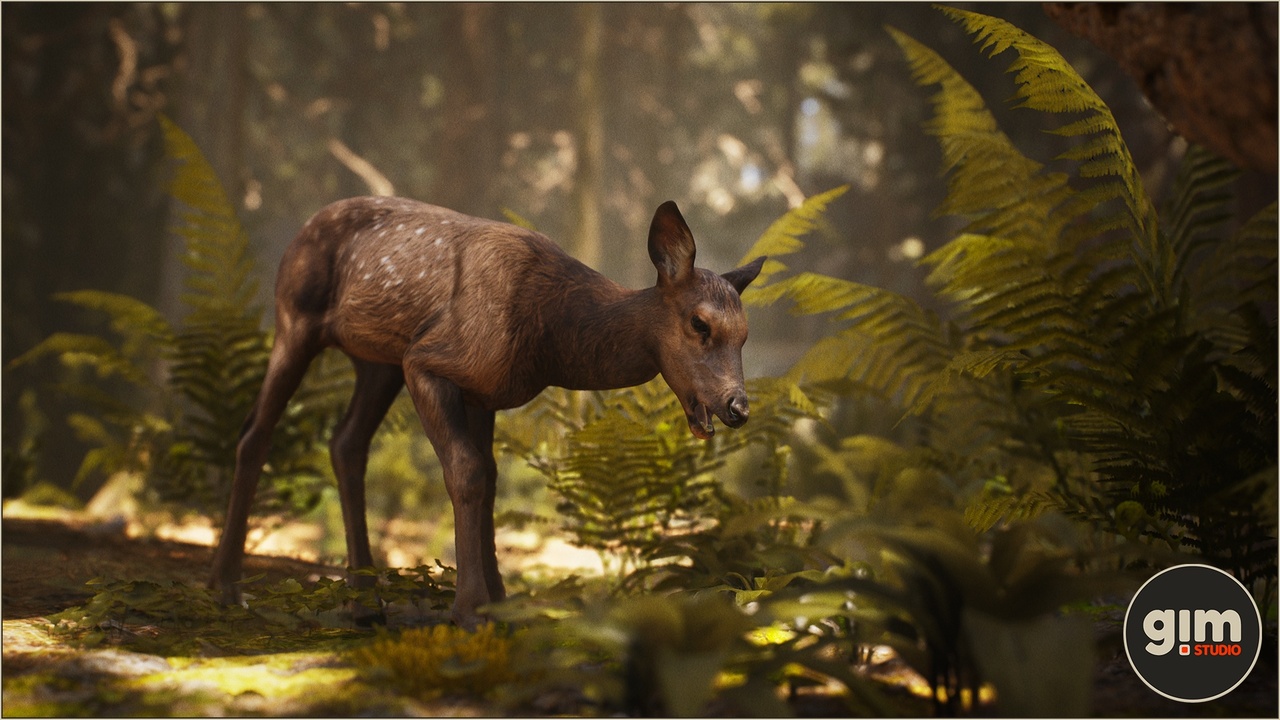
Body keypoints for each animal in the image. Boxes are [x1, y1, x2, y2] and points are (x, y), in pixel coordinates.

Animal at [208, 196, 765, 628]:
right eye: (699, 324)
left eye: (745, 335)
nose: (737, 406)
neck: (549, 336)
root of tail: (300, 231)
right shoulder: (428, 361)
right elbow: (468, 473)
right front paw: (471, 610)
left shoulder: (483, 391)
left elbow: (492, 479)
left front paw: (501, 603)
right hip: (296, 316)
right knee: (255, 431)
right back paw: (226, 588)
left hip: (376, 361)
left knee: (346, 443)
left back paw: (363, 604)